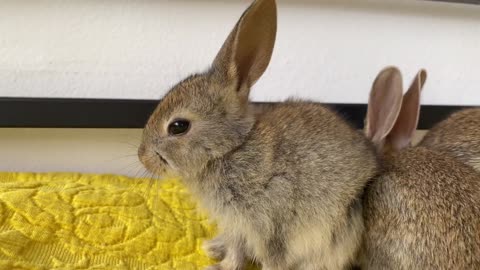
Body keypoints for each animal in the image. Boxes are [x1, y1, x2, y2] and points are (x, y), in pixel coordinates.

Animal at [138, 0, 378, 270]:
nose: (142, 156)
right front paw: (220, 264)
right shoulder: (236, 223)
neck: (231, 148)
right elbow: (236, 247)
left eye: (178, 126)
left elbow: (267, 256)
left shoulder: (268, 222)